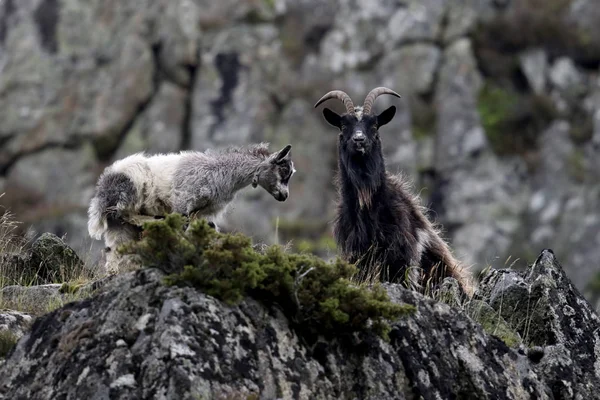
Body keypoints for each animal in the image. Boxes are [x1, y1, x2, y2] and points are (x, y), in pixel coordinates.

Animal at [88, 144, 296, 272]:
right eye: (283, 170)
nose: (284, 196)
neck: (224, 173)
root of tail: (104, 184)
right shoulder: (184, 200)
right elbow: (181, 224)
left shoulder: (205, 212)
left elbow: (209, 228)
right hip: (128, 192)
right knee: (125, 213)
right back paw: (154, 222)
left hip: (118, 225)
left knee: (115, 247)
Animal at [316, 87, 472, 294]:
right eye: (343, 126)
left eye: (375, 126)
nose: (359, 140)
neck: (368, 204)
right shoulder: (357, 254)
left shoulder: (402, 254)